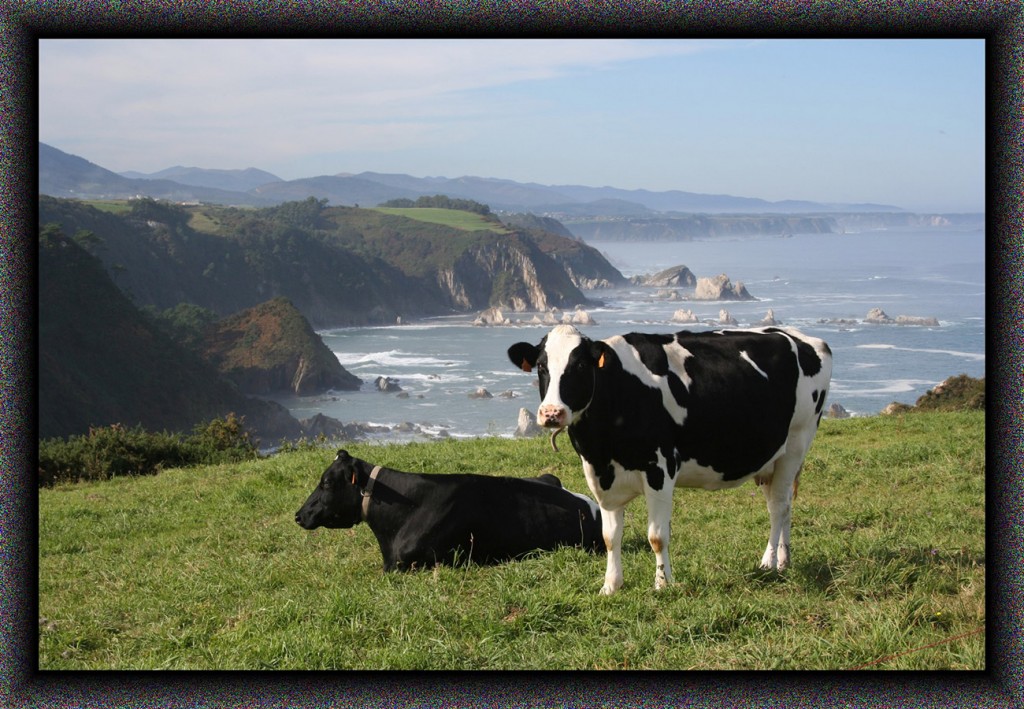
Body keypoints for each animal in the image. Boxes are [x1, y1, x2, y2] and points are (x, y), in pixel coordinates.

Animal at [507, 323, 835, 594]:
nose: (551, 413)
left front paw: (663, 583)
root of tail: (803, 338)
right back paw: (783, 559)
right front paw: (611, 586)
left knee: (778, 507)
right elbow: (611, 536)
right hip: (769, 457)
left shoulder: (660, 469)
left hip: (796, 443)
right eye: (541, 366)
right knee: (782, 504)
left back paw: (769, 562)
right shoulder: (602, 478)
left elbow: (657, 536)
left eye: (578, 365)